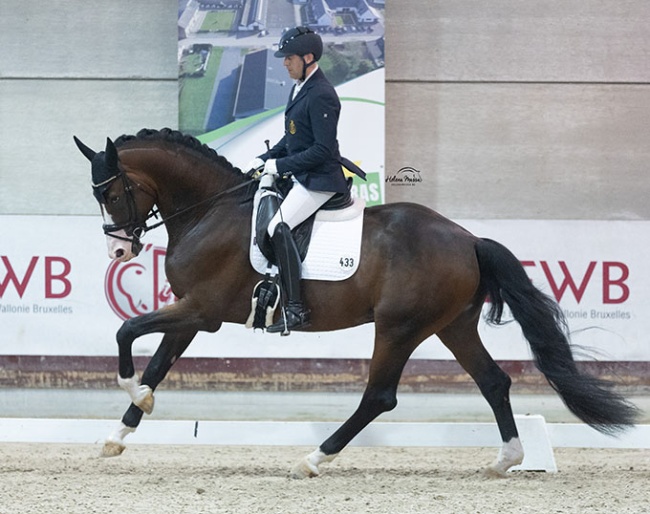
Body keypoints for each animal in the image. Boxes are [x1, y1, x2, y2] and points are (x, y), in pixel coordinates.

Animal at [73, 127, 636, 476]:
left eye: (113, 194)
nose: (120, 251)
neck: (210, 210)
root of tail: (469, 239)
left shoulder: (202, 310)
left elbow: (127, 332)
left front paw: (134, 396)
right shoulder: (190, 312)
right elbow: (158, 362)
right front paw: (118, 434)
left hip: (399, 327)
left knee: (379, 397)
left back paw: (314, 459)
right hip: (452, 325)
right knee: (493, 381)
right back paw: (506, 459)